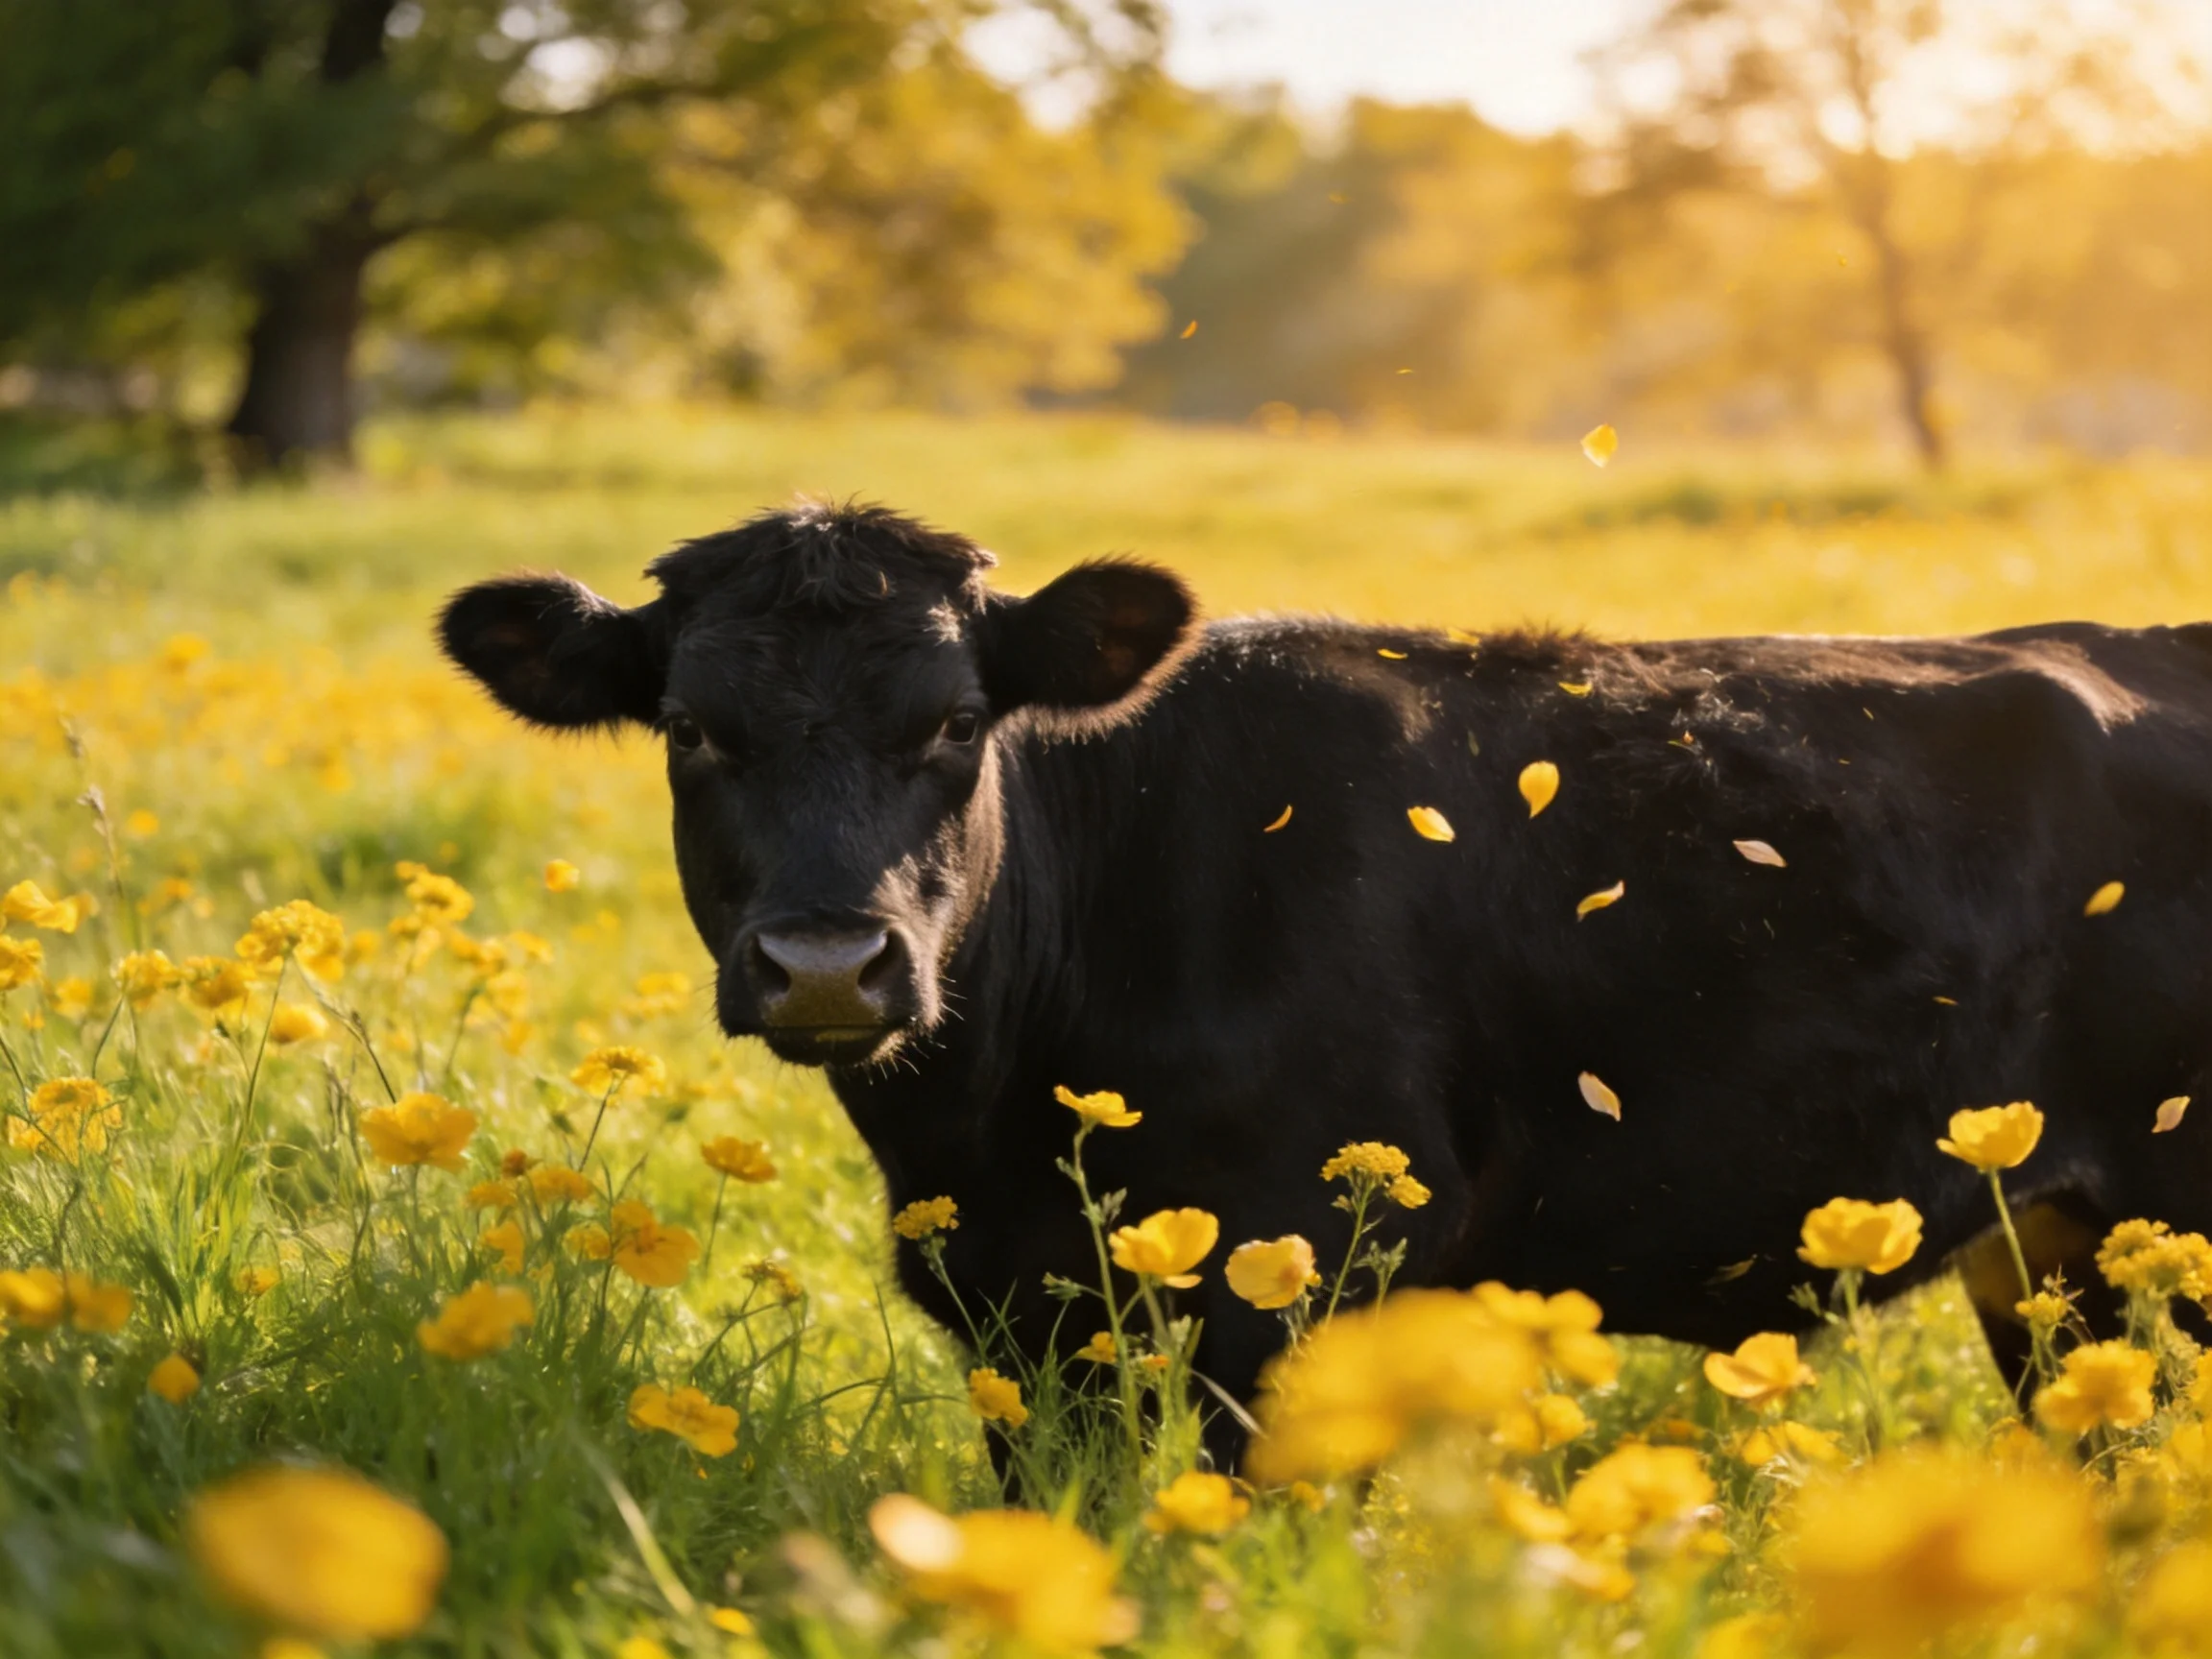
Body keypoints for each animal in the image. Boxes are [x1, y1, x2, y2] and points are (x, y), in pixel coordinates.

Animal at [440, 500, 2212, 1463]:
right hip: (2056, 1256)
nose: (827, 959)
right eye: (691, 728)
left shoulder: (1303, 1279)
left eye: (953, 720)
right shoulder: (1017, 1319)